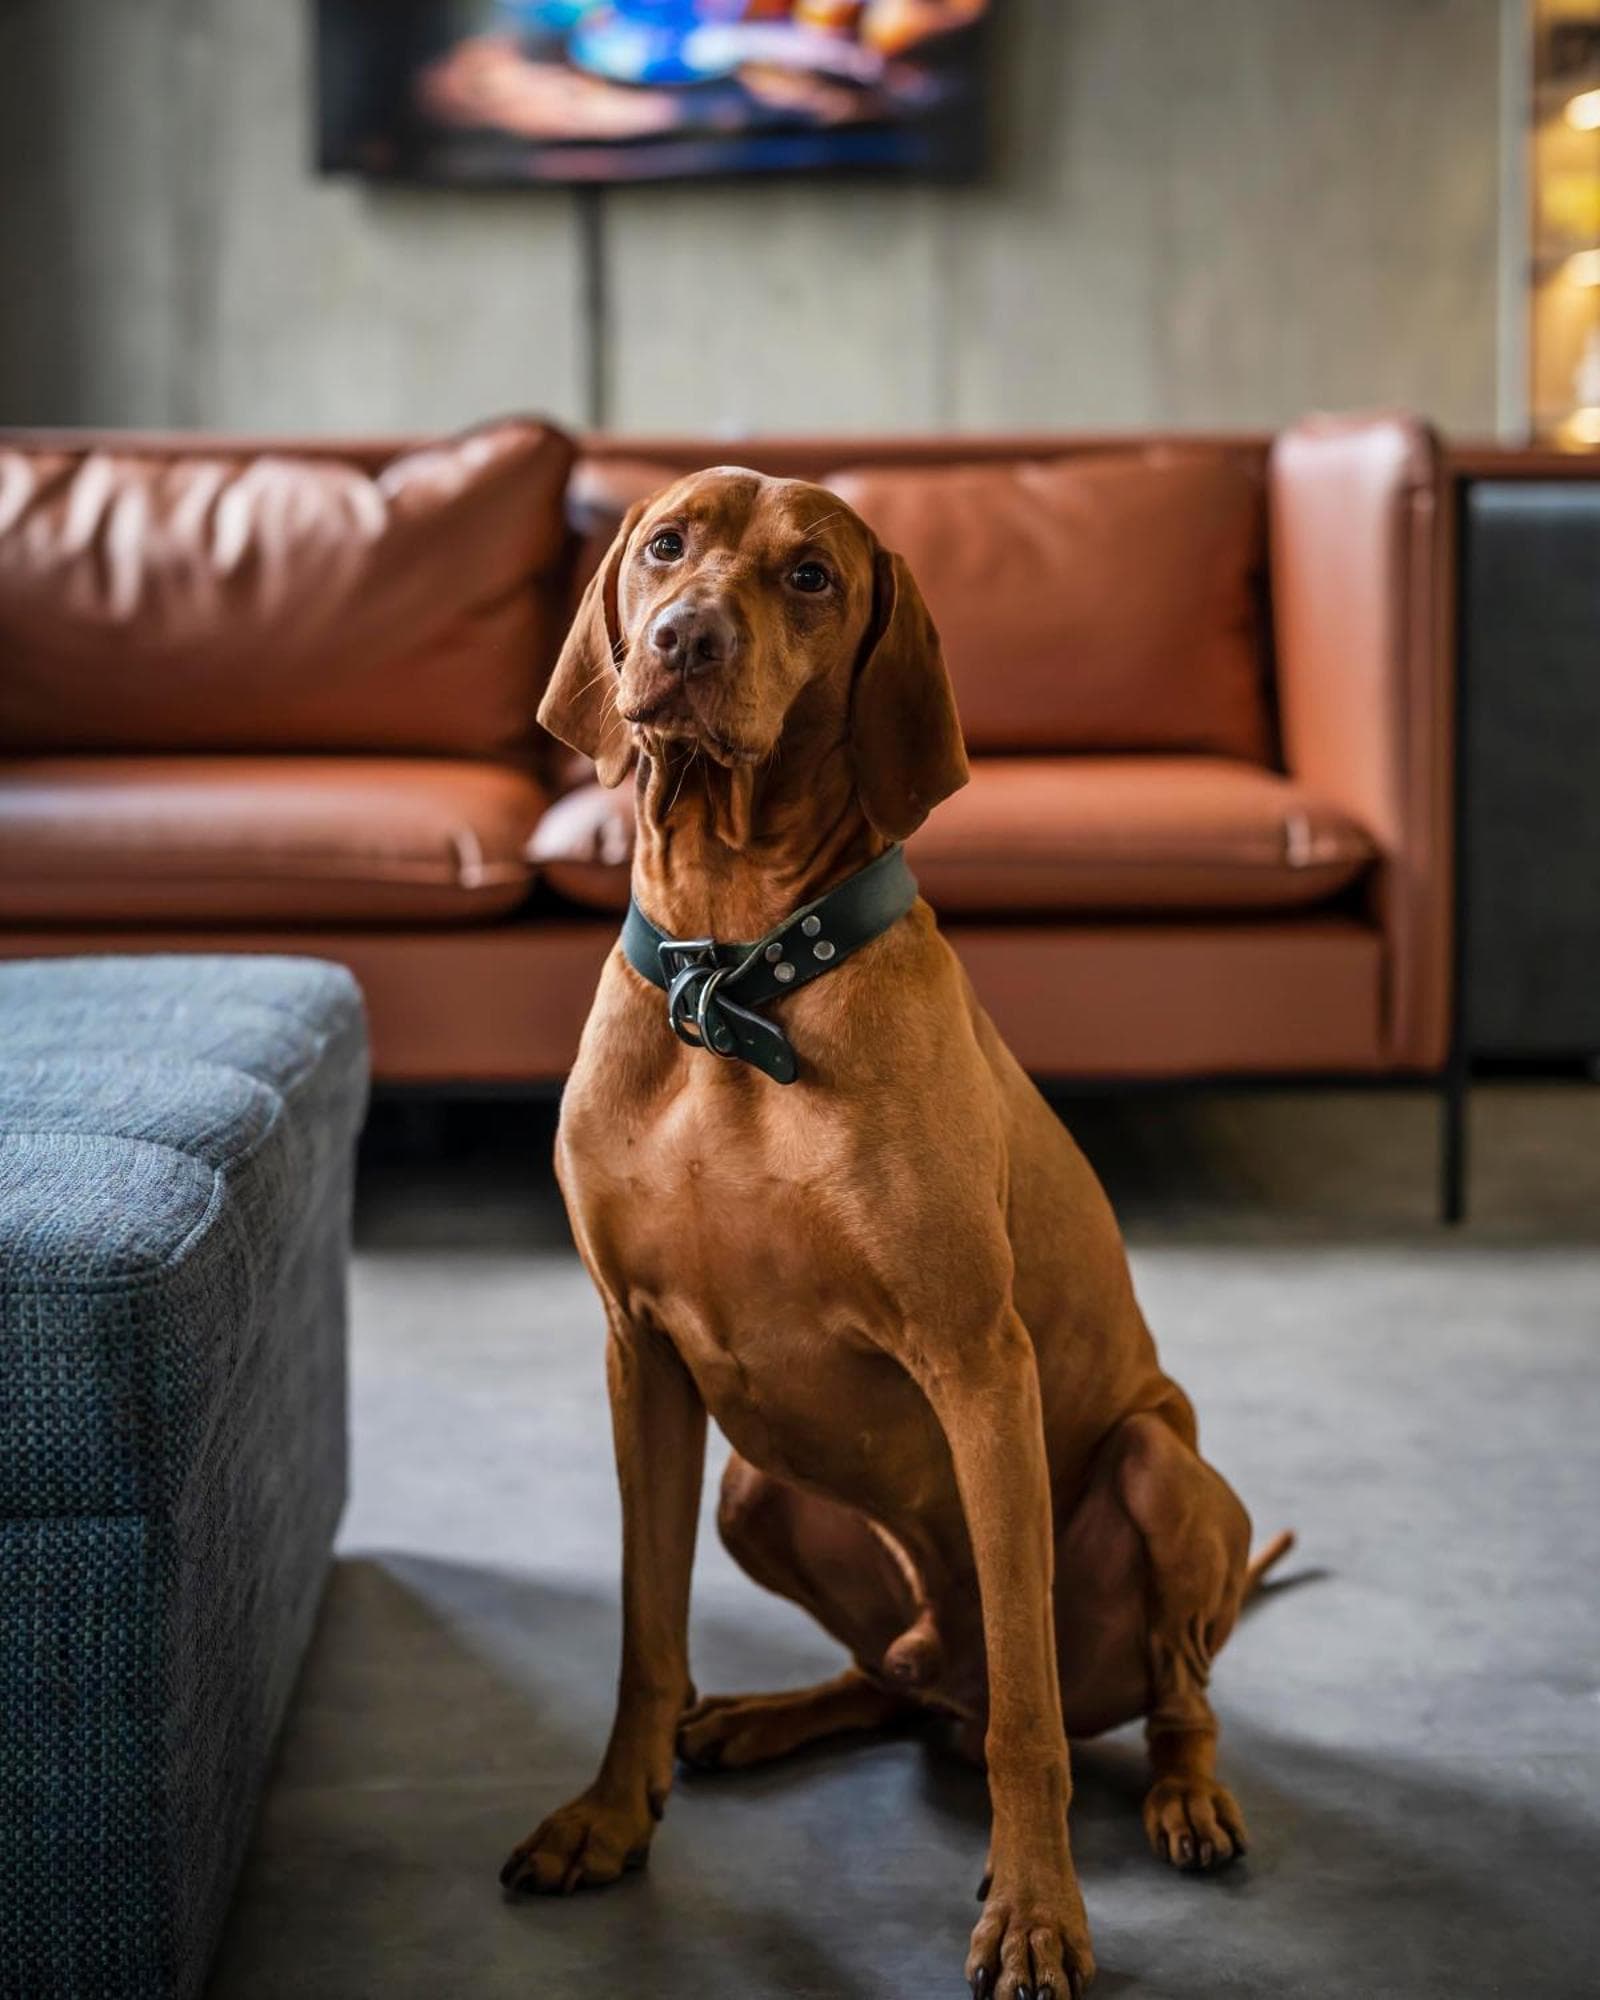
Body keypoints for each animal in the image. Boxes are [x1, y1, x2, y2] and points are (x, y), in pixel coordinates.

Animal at [503, 466, 1291, 1999]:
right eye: (666, 545)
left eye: (811, 577)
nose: (684, 642)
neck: (734, 977)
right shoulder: (641, 1356)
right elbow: (644, 1631)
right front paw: (611, 1815)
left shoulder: (978, 1365)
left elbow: (1031, 1726)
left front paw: (1038, 1911)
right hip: (757, 1489)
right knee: (902, 1685)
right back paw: (770, 1713)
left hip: (1163, 1474)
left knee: (1146, 1693)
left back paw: (1187, 1796)